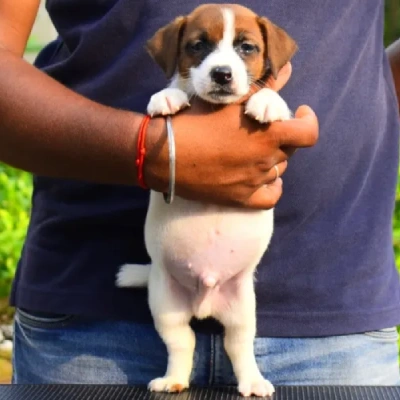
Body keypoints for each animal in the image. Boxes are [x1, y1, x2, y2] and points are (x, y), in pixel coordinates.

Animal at [115, 3, 296, 396]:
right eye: (198, 46)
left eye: (247, 47)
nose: (222, 74)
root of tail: (205, 301)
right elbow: (171, 89)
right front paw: (168, 97)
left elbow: (277, 100)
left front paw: (267, 100)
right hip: (166, 306)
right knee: (183, 342)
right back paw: (173, 380)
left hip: (243, 310)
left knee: (238, 345)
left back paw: (253, 382)